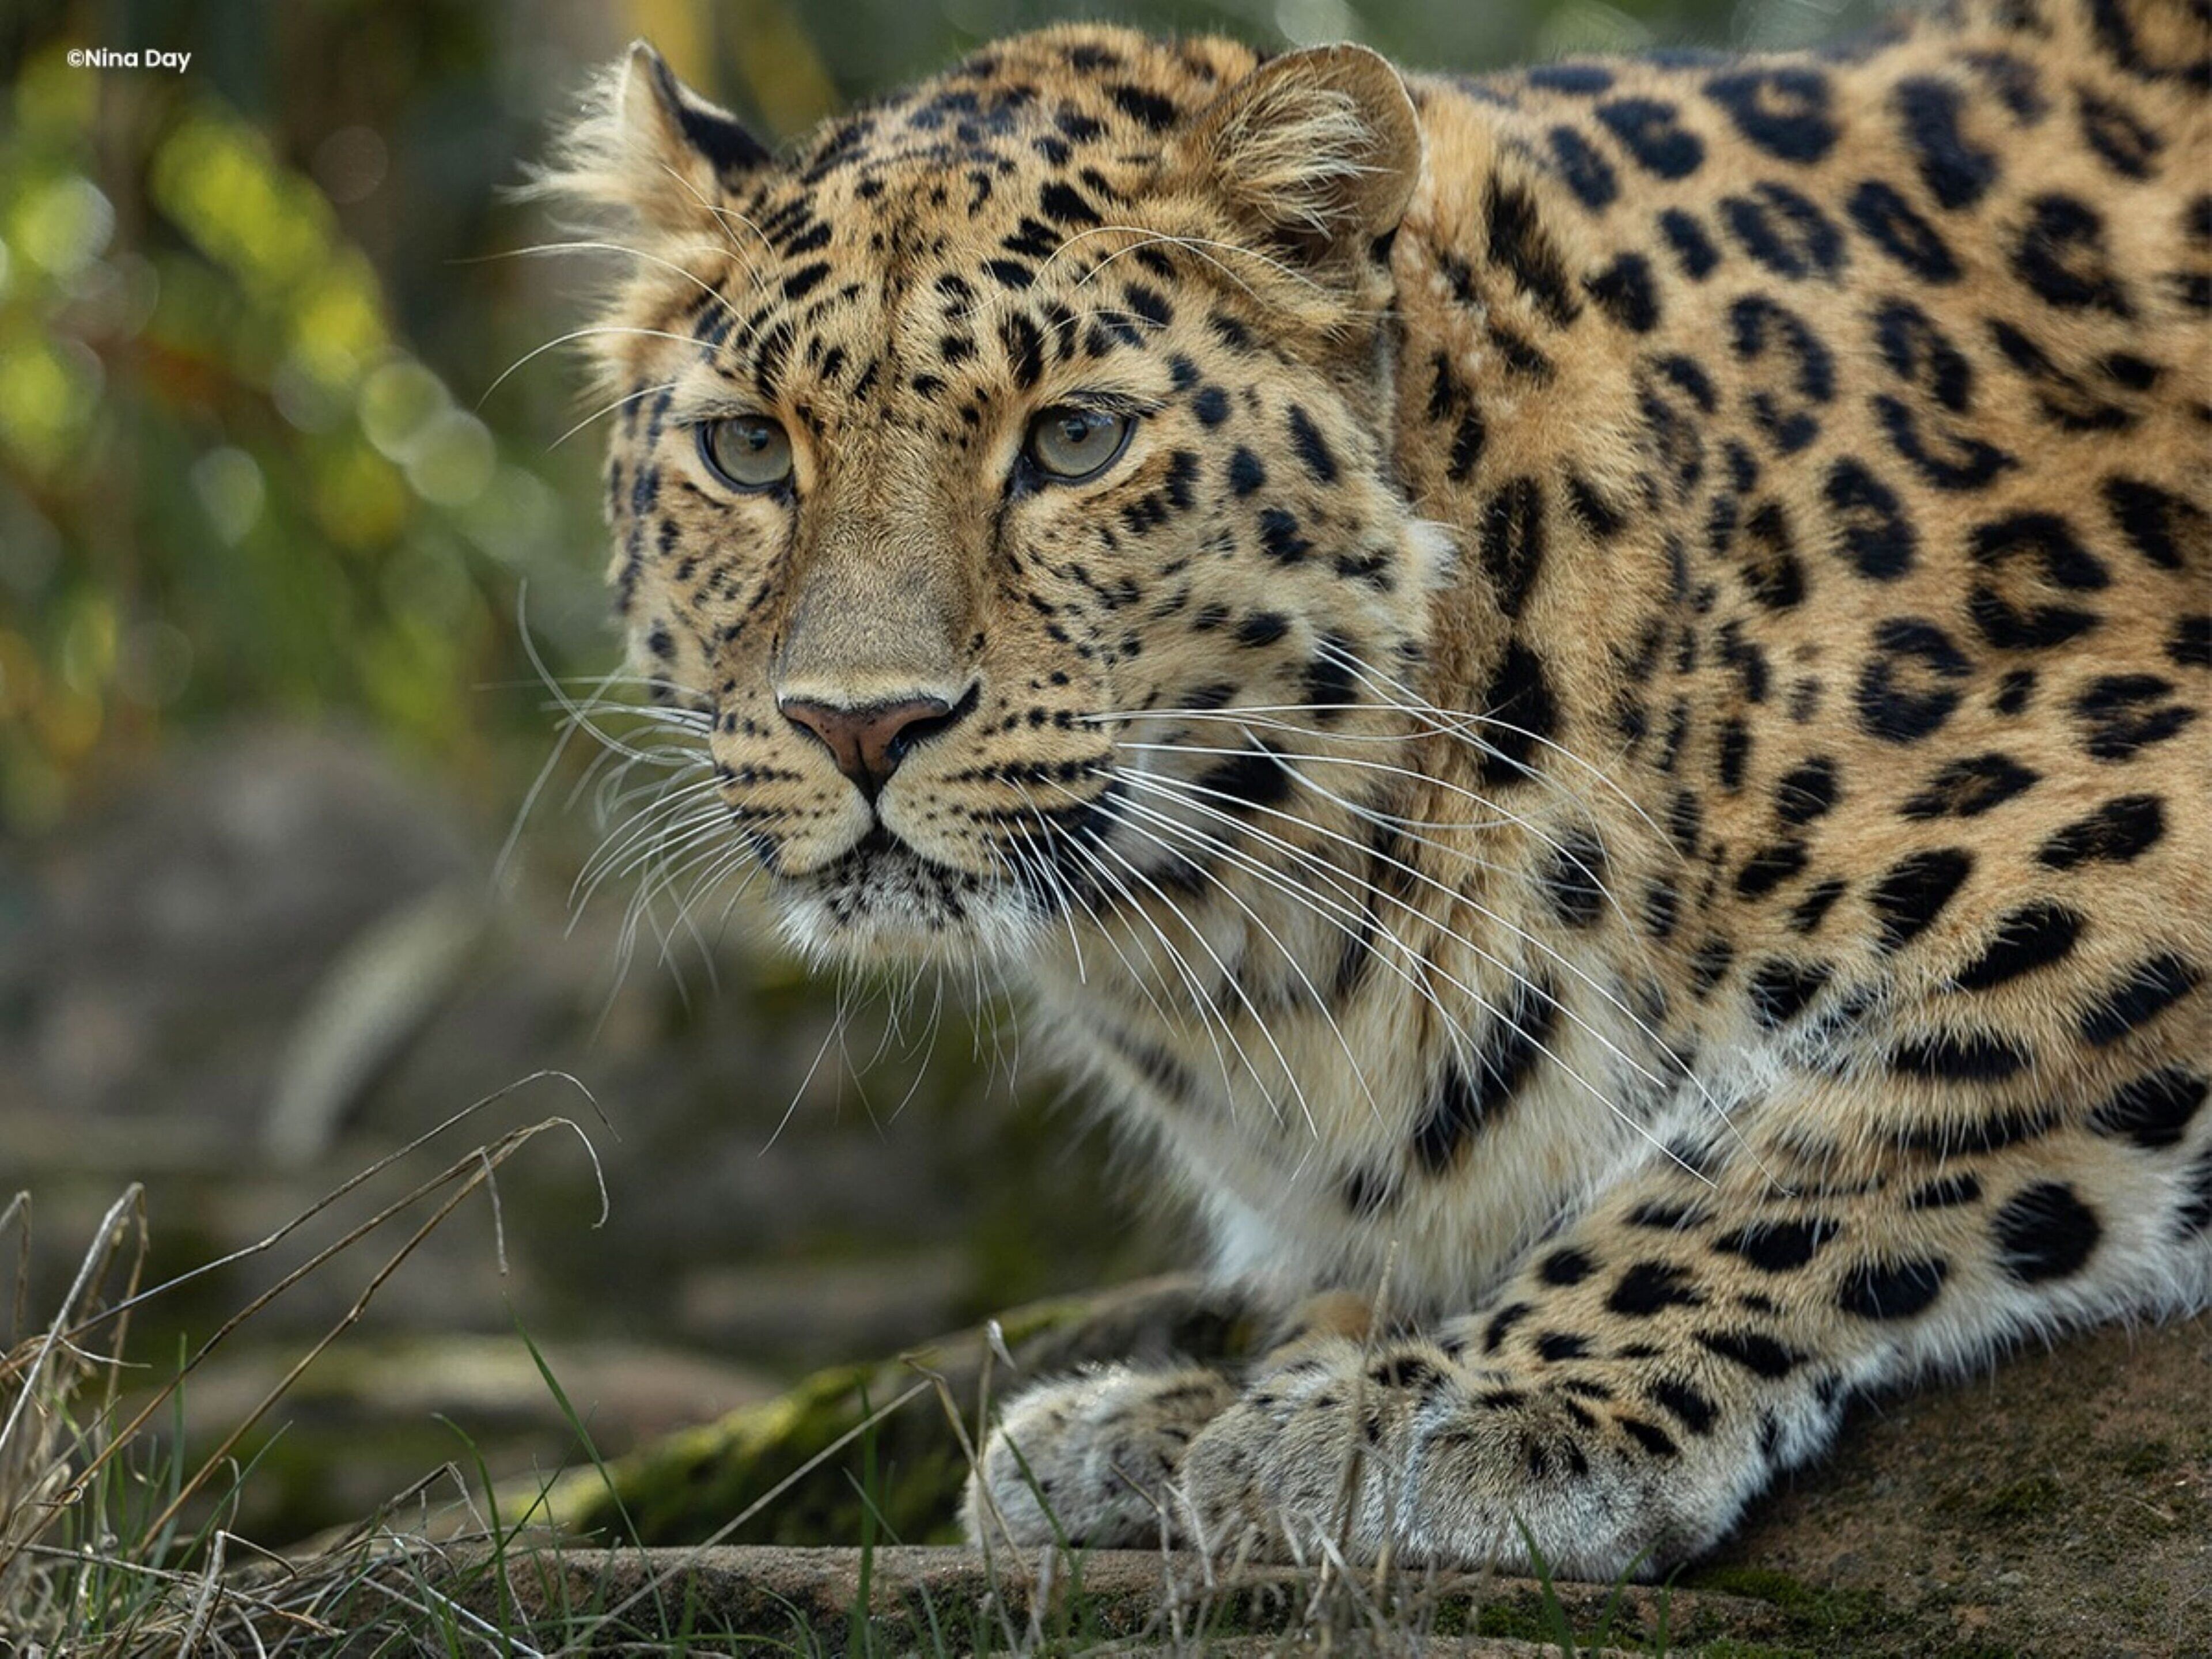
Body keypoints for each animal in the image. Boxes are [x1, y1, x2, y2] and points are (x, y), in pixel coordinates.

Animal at [537, 0, 2211, 1578]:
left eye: (1074, 439)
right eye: (749, 451)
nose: (861, 724)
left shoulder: (2127, 842)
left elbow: (1806, 1137)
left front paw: (1464, 1411)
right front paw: (1175, 1416)